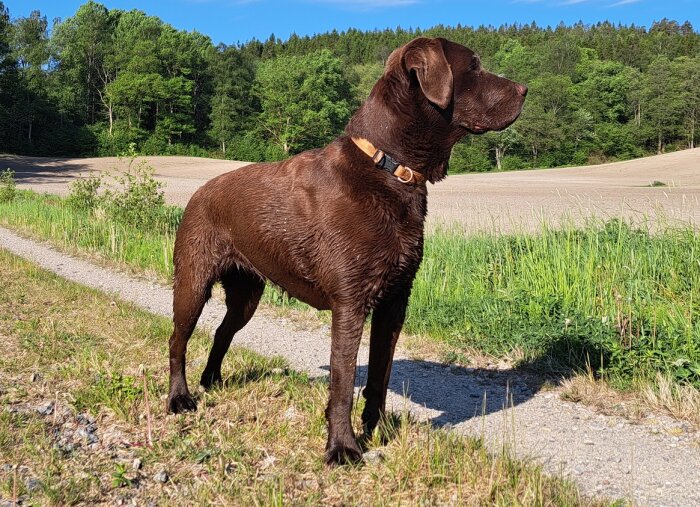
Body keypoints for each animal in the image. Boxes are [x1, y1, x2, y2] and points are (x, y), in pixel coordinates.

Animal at [168, 35, 524, 464]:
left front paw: (380, 429)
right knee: (177, 340)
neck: (390, 168)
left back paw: (212, 379)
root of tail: (197, 192)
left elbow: (380, 374)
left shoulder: (394, 300)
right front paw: (342, 447)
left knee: (223, 331)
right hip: (193, 280)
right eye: (472, 66)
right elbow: (342, 379)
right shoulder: (351, 300)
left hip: (247, 292)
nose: (525, 89)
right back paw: (179, 398)